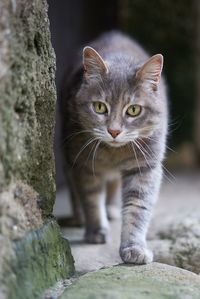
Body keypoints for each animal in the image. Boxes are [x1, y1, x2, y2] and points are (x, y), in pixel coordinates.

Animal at [60, 31, 168, 264]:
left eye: (134, 110)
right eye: (100, 107)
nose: (114, 131)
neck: (113, 153)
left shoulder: (144, 167)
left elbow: (137, 208)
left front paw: (134, 247)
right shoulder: (82, 164)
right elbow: (91, 198)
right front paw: (96, 230)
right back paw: (80, 216)